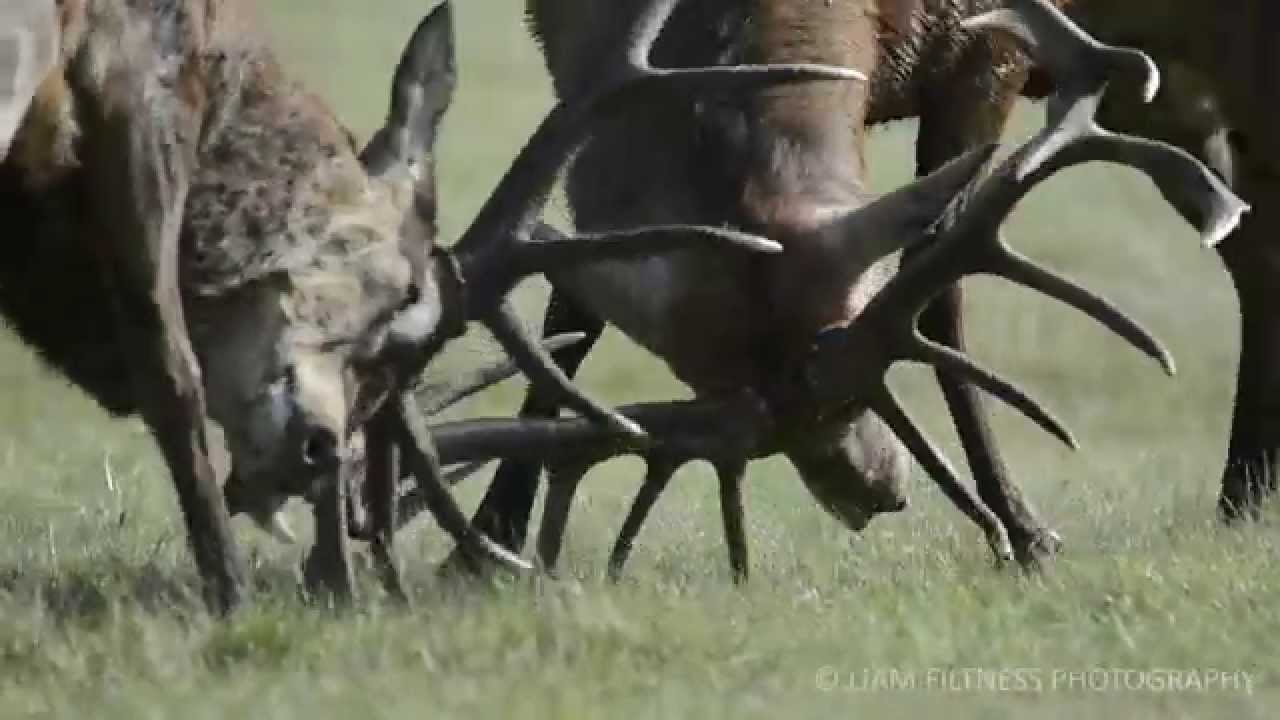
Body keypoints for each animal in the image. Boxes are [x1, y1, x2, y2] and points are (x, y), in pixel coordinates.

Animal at [406, 0, 1243, 582]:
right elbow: (571, 316)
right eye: (708, 383)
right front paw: (482, 551)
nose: (878, 494)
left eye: (848, 397)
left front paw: (1022, 531)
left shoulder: (987, 54)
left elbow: (943, 289)